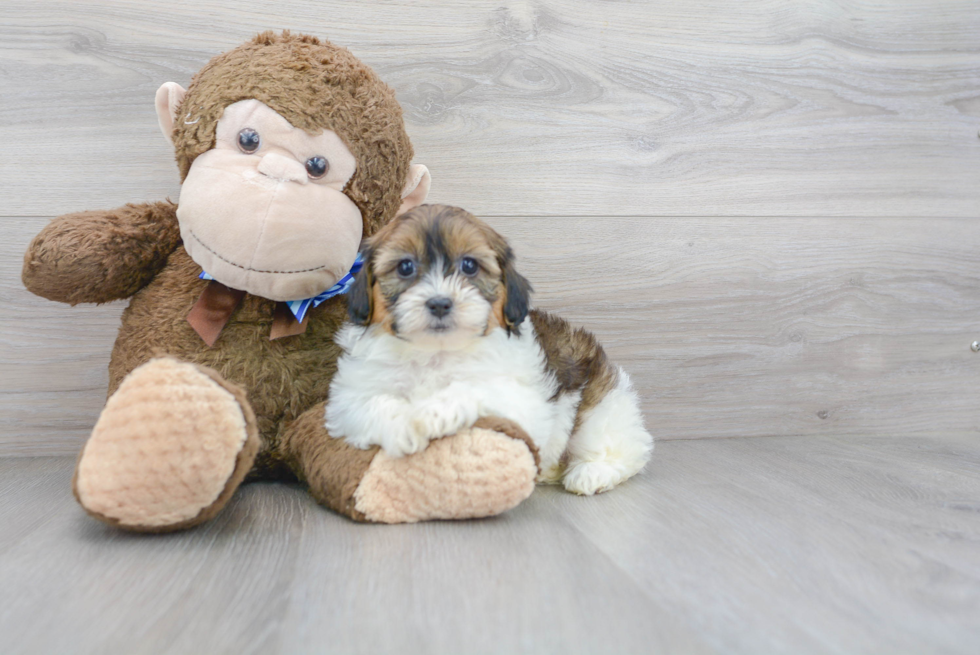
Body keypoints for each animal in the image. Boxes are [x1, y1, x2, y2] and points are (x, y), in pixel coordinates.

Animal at [326, 205, 656, 498]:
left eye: (469, 265)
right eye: (405, 267)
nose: (440, 303)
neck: (435, 351)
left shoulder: (523, 401)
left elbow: (475, 389)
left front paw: (433, 412)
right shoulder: (349, 398)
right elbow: (373, 404)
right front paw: (404, 428)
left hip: (601, 406)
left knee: (625, 447)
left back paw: (591, 472)